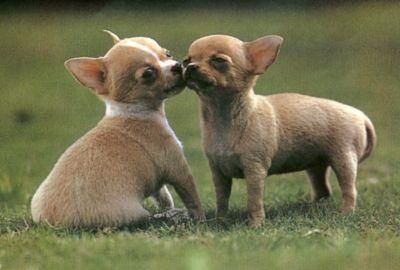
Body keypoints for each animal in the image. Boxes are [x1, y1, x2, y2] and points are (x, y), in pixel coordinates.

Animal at [31, 30, 205, 227]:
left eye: (168, 54)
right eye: (148, 74)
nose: (177, 65)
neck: (131, 109)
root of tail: (55, 222)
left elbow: (161, 194)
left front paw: (168, 205)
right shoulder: (178, 168)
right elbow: (192, 197)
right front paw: (201, 219)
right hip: (135, 213)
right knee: (148, 219)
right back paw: (171, 216)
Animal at [183, 34, 376, 228]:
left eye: (218, 61)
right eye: (186, 60)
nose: (189, 67)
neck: (223, 117)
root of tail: (361, 115)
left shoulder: (255, 170)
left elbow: (254, 201)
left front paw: (256, 225)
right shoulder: (218, 172)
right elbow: (222, 200)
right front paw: (220, 221)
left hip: (343, 159)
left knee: (349, 189)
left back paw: (345, 213)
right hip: (317, 164)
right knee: (323, 189)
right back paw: (314, 210)